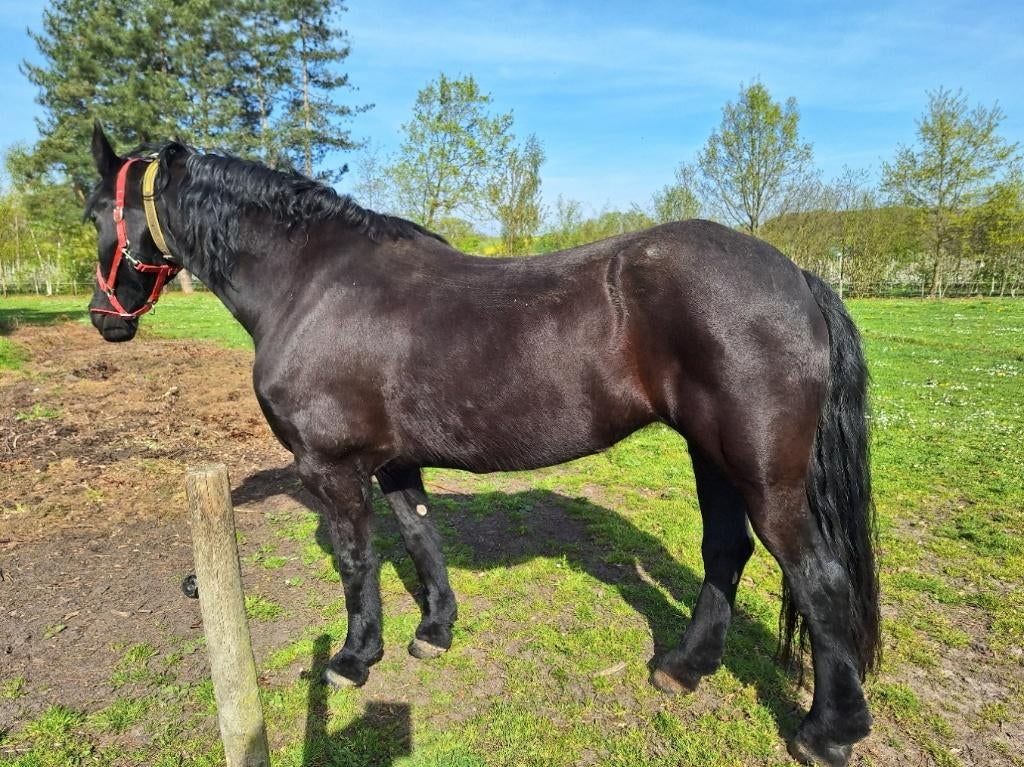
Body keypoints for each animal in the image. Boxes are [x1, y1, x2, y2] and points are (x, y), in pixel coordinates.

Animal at [85, 123, 879, 767]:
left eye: (96, 211)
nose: (103, 318)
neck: (310, 284)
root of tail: (795, 275)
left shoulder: (332, 469)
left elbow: (356, 563)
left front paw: (354, 657)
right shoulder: (395, 462)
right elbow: (419, 537)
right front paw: (435, 630)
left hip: (762, 472)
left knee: (819, 577)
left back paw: (829, 732)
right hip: (711, 456)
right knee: (726, 552)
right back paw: (684, 666)